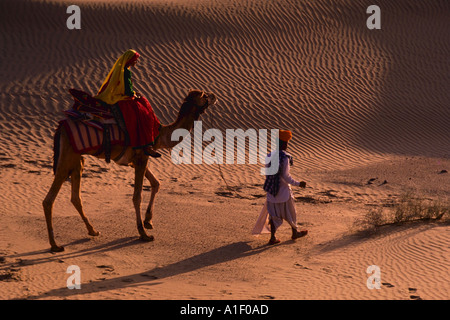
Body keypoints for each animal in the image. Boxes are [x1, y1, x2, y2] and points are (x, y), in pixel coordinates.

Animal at [43, 89, 217, 251]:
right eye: (203, 95)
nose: (214, 95)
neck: (160, 133)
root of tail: (60, 128)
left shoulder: (139, 159)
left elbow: (156, 183)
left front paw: (148, 221)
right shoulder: (141, 157)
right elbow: (137, 196)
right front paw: (143, 234)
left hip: (77, 160)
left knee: (75, 197)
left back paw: (92, 230)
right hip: (67, 157)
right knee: (49, 199)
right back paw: (55, 245)